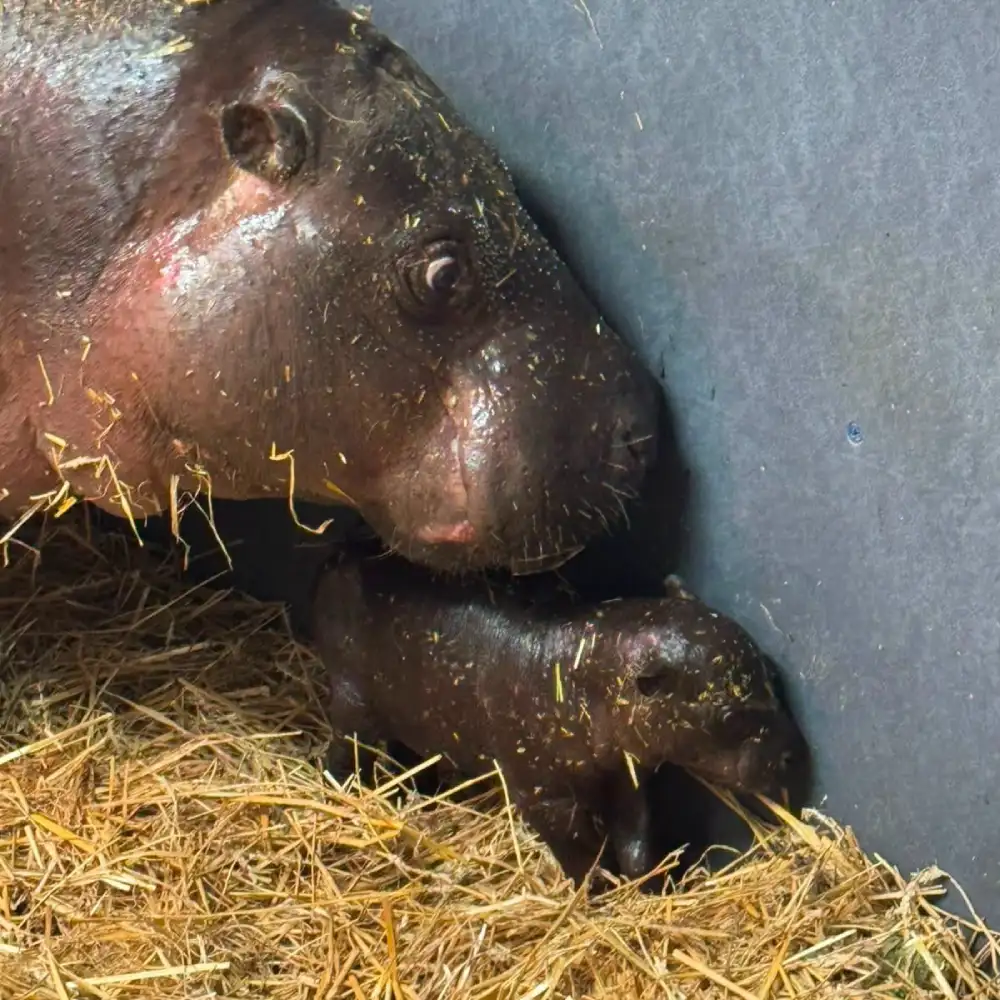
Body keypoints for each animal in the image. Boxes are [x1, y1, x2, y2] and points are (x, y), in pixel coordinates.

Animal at [311, 548, 808, 885]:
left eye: (770, 672)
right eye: (728, 714)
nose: (795, 755)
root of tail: (336, 558)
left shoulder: (626, 775)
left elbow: (636, 835)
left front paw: (647, 887)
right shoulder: (542, 794)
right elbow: (579, 850)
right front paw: (601, 892)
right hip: (353, 700)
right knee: (346, 749)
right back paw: (344, 789)